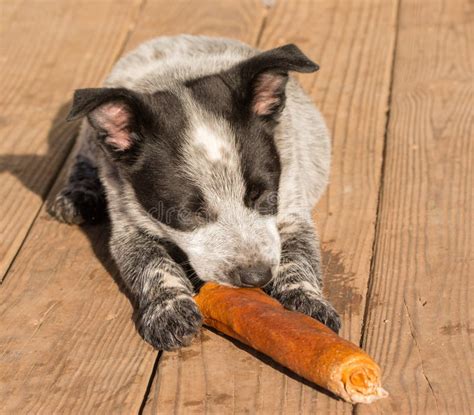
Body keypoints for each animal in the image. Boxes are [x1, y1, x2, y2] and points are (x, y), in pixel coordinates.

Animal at [49, 36, 340, 352]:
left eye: (263, 196)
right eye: (188, 213)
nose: (257, 277)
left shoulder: (291, 212)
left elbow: (298, 261)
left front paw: (307, 304)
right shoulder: (128, 224)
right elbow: (153, 265)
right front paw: (169, 309)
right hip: (94, 134)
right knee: (85, 151)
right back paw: (78, 193)